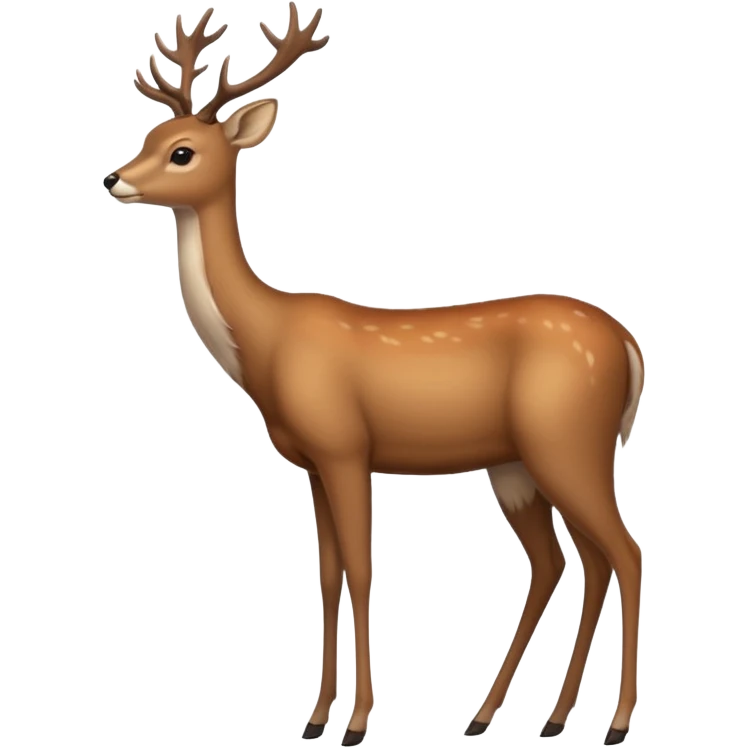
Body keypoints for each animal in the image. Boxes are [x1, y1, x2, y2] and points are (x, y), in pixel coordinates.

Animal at [102, 3, 646, 745]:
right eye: (150, 133)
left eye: (182, 151)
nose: (113, 178)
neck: (266, 345)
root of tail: (628, 344)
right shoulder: (309, 461)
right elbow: (327, 577)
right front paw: (314, 719)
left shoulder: (344, 447)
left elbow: (361, 573)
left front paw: (357, 722)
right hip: (518, 463)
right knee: (567, 560)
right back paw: (521, 717)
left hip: (567, 440)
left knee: (623, 551)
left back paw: (611, 723)